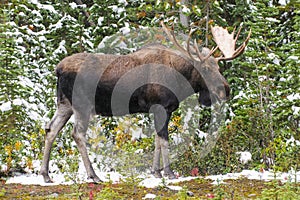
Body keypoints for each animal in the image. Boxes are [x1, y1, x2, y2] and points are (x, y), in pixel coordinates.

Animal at [39, 22, 251, 183]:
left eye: (218, 67)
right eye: (205, 68)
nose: (226, 90)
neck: (181, 81)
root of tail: (58, 69)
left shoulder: (160, 110)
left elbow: (157, 140)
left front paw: (156, 172)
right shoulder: (161, 107)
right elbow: (164, 140)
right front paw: (169, 172)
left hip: (64, 104)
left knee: (51, 129)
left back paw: (46, 175)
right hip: (81, 105)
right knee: (77, 134)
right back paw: (94, 175)